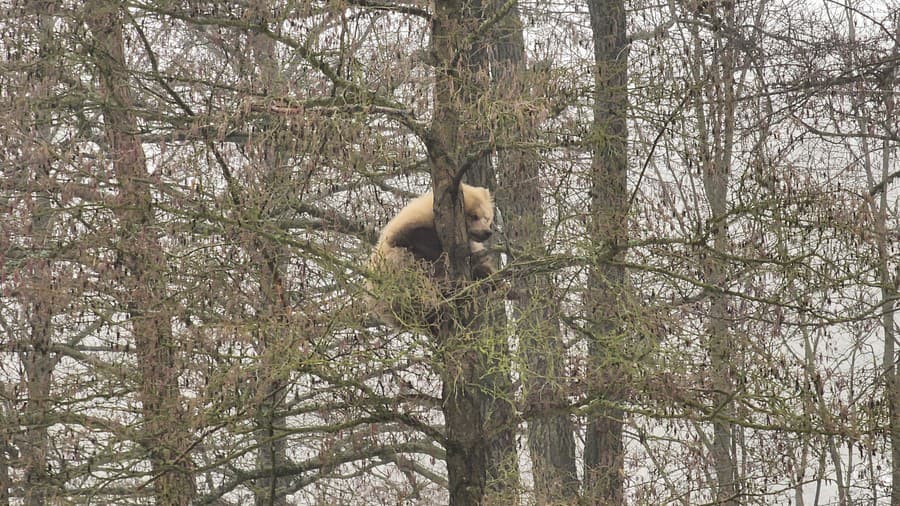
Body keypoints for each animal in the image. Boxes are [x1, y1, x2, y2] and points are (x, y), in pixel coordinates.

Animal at [366, 184, 500, 330]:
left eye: (487, 218)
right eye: (474, 216)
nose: (487, 232)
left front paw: (486, 272)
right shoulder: (407, 230)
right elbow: (420, 242)